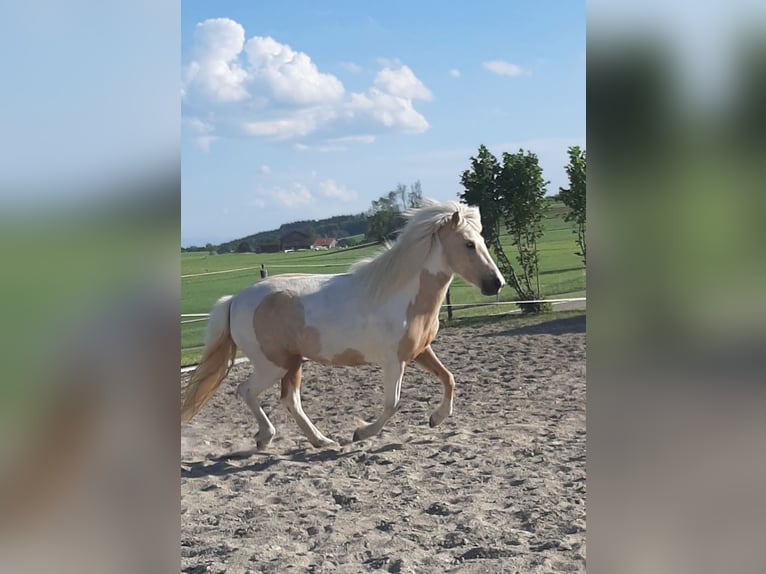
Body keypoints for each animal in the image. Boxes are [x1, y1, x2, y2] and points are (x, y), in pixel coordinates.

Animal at [181, 199, 505, 449]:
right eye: (469, 244)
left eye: (482, 242)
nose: (497, 284)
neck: (401, 294)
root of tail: (235, 300)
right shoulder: (394, 361)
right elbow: (393, 404)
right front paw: (361, 433)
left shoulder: (420, 352)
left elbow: (449, 378)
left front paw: (435, 419)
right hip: (272, 364)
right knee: (247, 390)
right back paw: (266, 437)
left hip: (293, 363)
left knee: (290, 401)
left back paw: (321, 441)